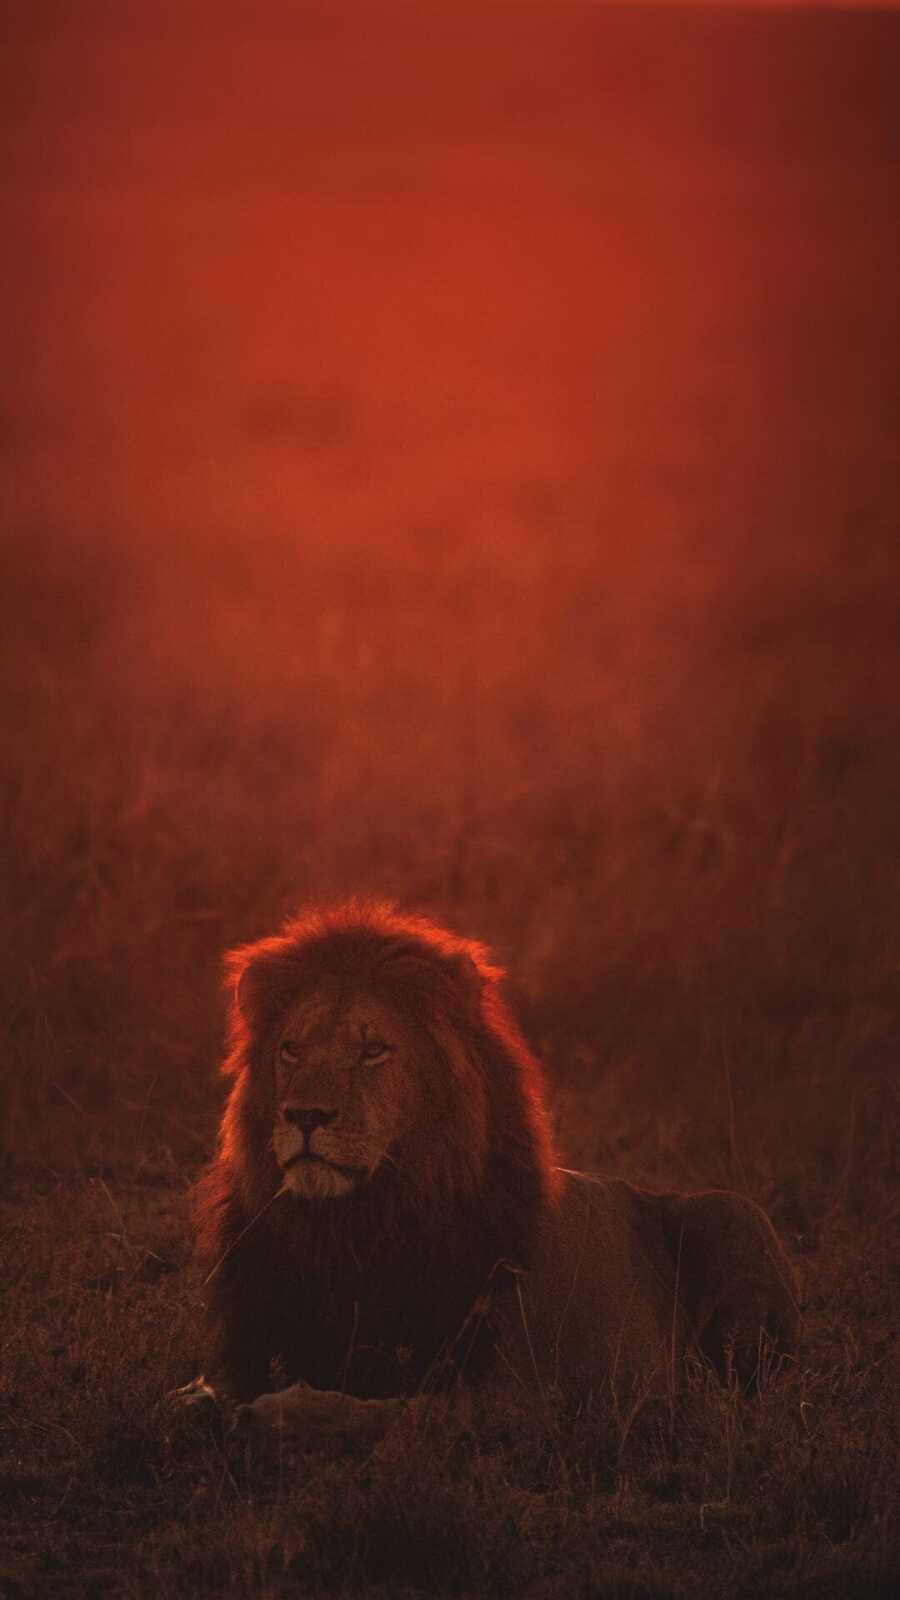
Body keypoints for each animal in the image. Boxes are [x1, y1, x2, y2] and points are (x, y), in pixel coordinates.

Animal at [188, 902, 799, 1451]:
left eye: (373, 1050)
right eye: (291, 1048)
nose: (304, 1115)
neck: (353, 1229)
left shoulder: (530, 1396)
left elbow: (402, 1415)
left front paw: (282, 1415)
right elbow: (195, 1398)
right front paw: (216, 1407)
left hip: (734, 1213)